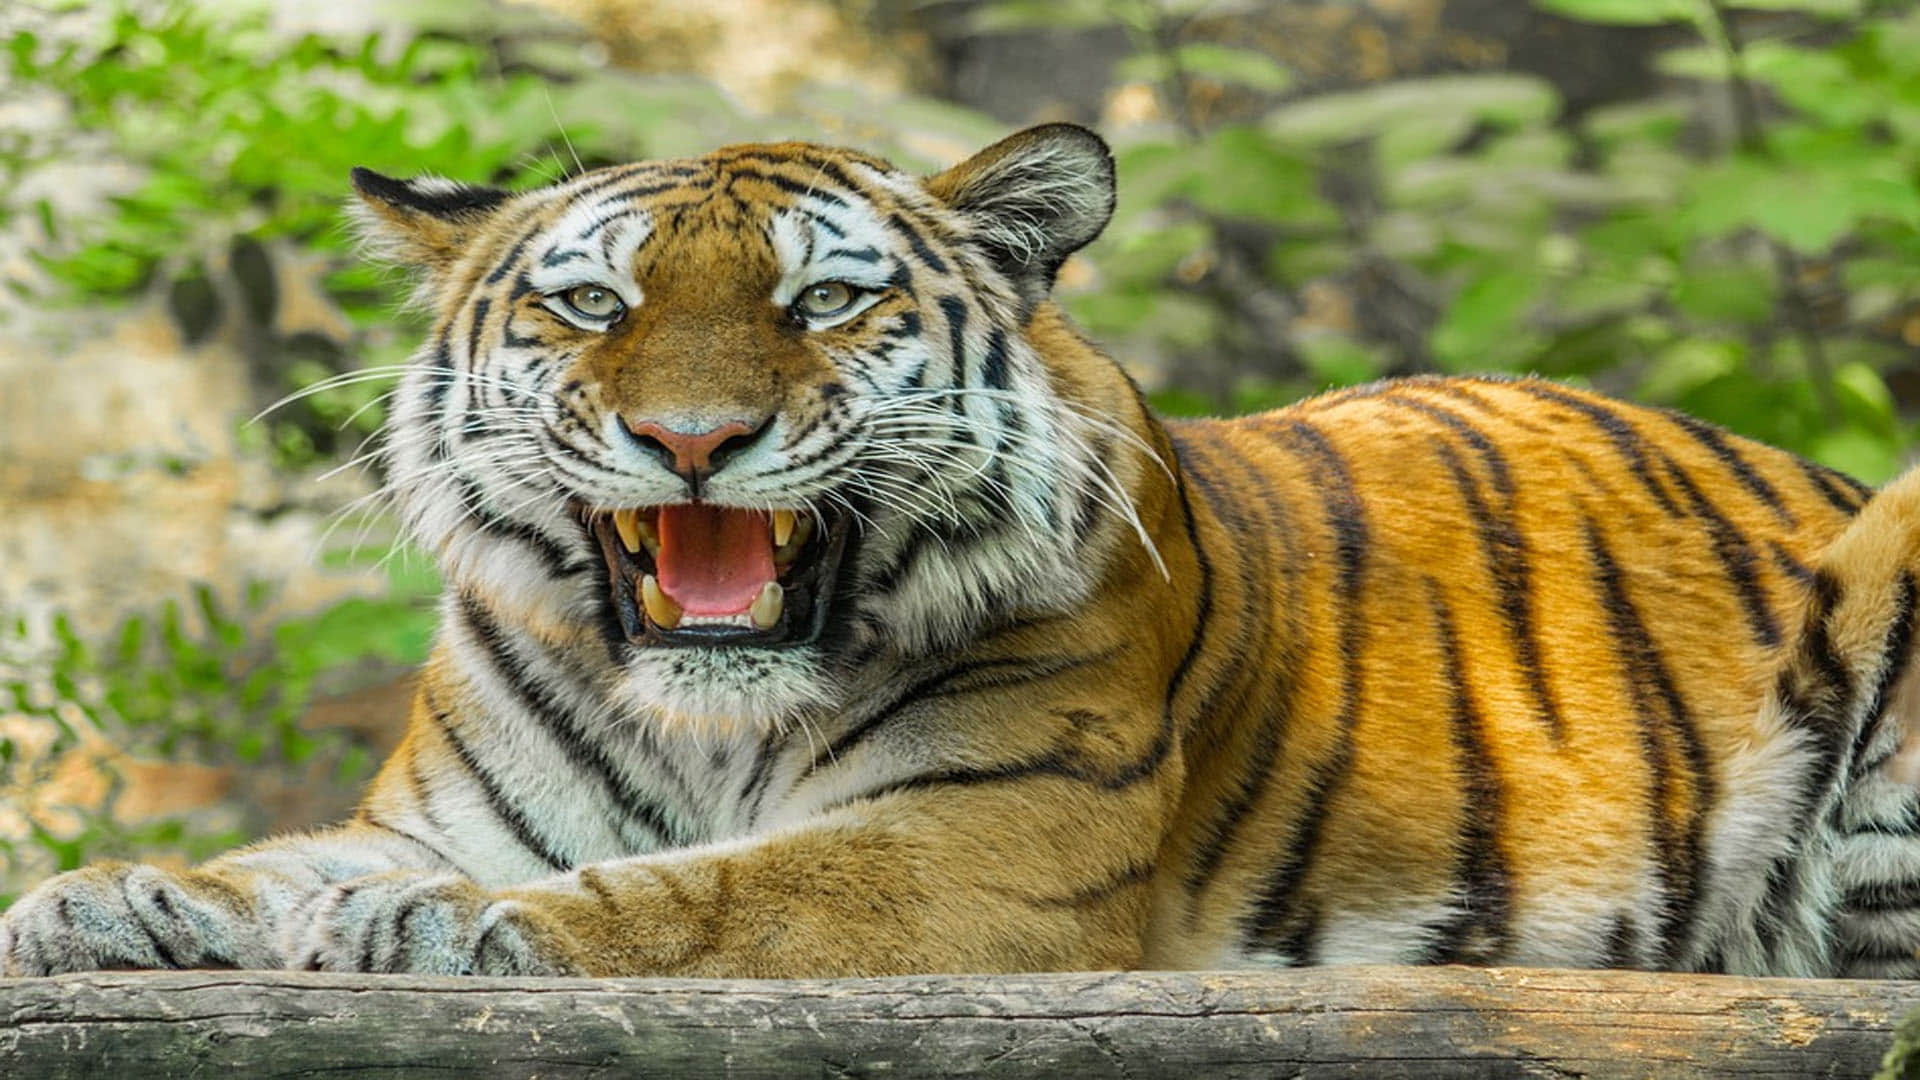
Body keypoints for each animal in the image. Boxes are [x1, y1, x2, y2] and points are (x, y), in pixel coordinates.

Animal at [6, 122, 1920, 981]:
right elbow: (290, 858)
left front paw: (444, 929)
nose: (690, 440)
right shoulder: (440, 803)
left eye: (820, 303)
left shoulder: (982, 849)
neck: (697, 723)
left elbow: (712, 892)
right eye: (594, 307)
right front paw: (109, 894)